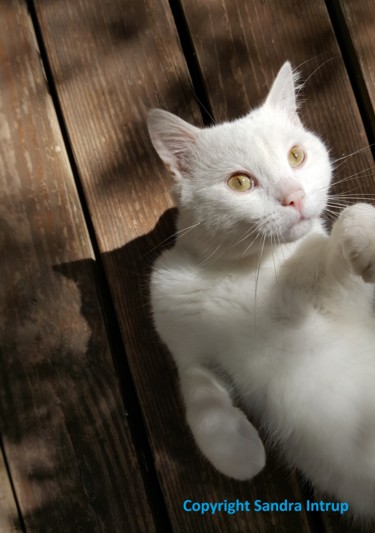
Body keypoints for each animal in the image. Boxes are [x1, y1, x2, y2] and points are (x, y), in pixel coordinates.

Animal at [147, 61, 375, 516]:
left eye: (296, 156)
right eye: (239, 183)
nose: (294, 196)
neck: (240, 271)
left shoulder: (350, 307)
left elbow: (351, 224)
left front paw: (365, 235)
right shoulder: (184, 342)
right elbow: (198, 391)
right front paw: (235, 450)